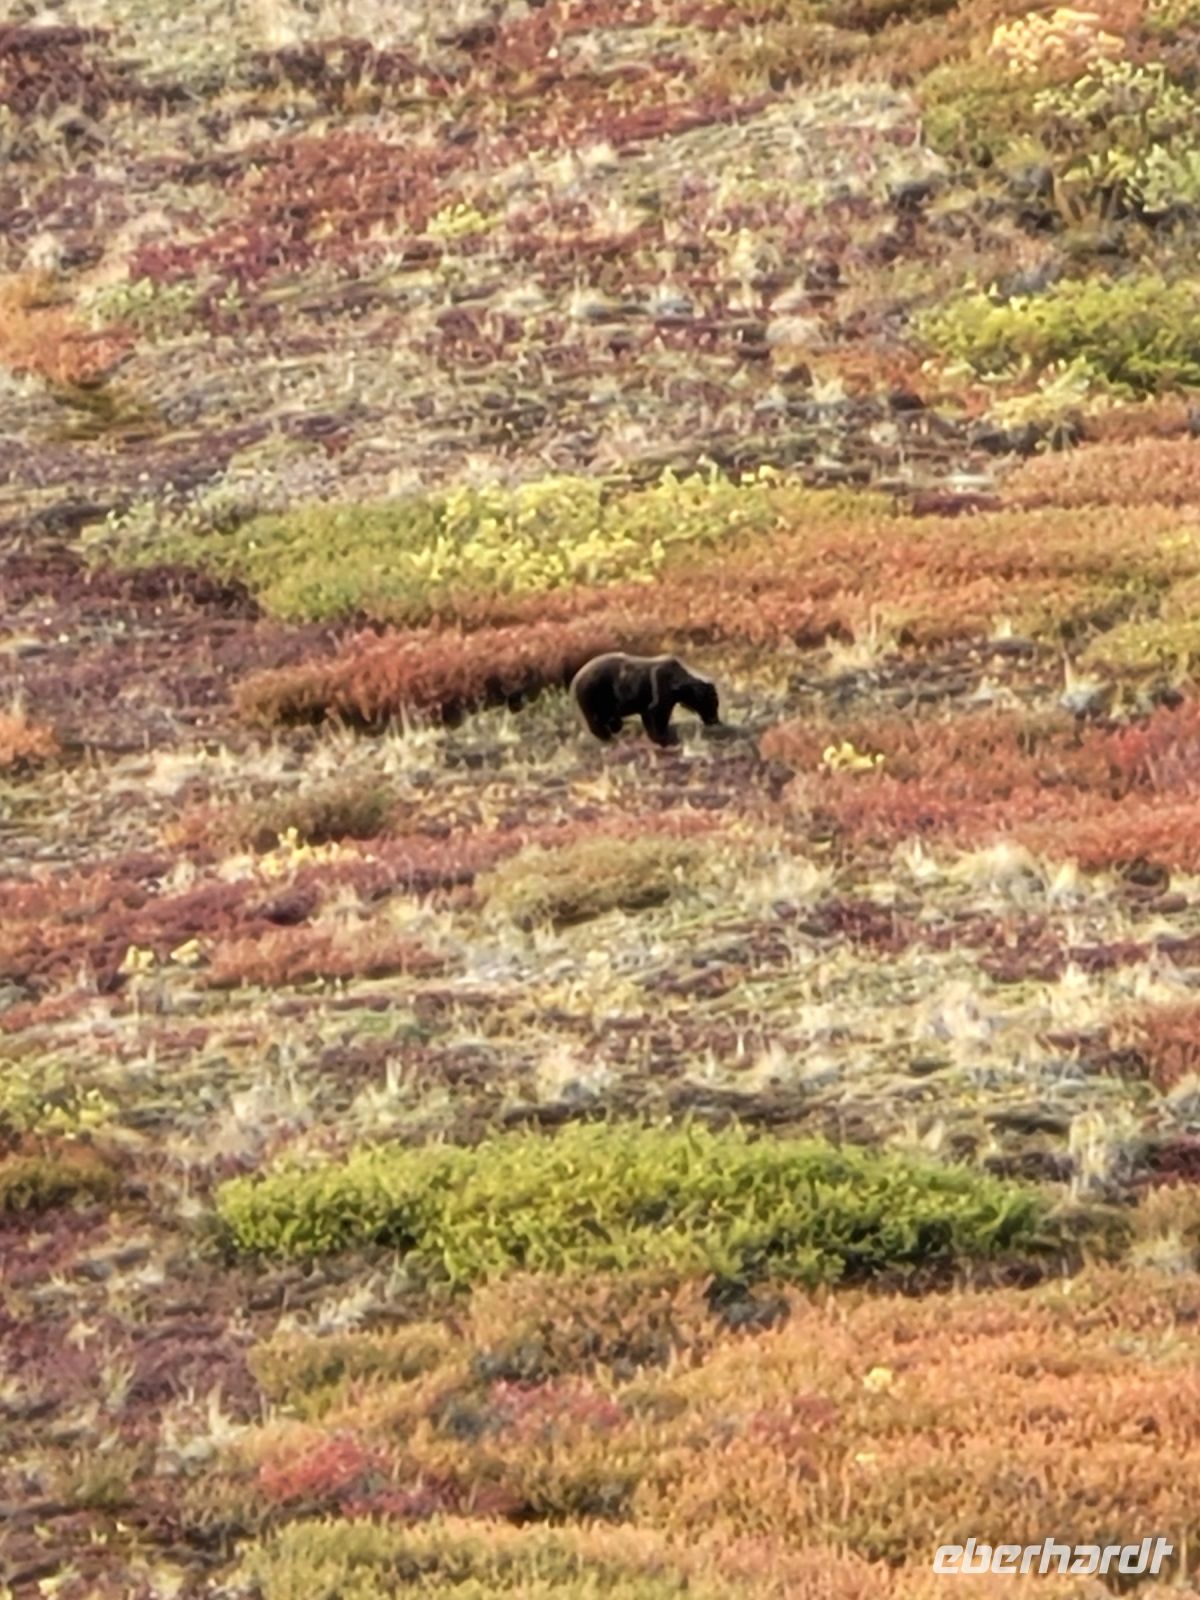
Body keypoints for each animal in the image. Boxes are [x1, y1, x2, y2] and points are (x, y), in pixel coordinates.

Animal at [569, 652, 720, 748]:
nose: (715, 720)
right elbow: (657, 717)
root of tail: (575, 681)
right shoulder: (659, 697)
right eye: (713, 702)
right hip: (595, 696)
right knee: (596, 723)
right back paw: (607, 737)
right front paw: (665, 740)